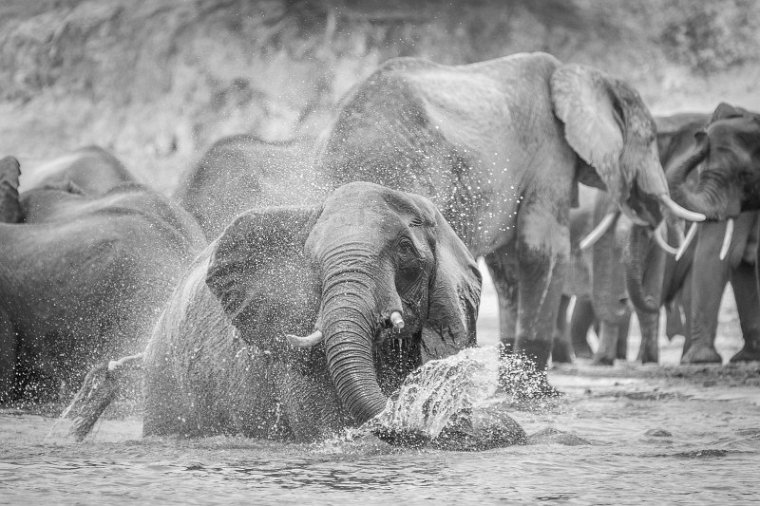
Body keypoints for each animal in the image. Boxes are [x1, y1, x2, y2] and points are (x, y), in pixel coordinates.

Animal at [314, 51, 700, 370]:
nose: (624, 300)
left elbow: (509, 268)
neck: (580, 74)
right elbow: (543, 251)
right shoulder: (549, 155)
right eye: (650, 141)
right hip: (406, 167)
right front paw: (539, 398)